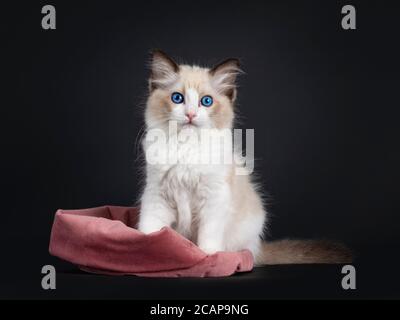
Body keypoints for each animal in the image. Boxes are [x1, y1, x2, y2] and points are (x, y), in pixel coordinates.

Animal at [138, 50, 350, 264]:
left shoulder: (214, 198)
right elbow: (150, 229)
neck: (186, 148)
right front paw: (149, 248)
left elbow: (208, 237)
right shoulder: (157, 194)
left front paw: (208, 257)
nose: (190, 114)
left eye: (206, 101)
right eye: (177, 98)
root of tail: (258, 248)